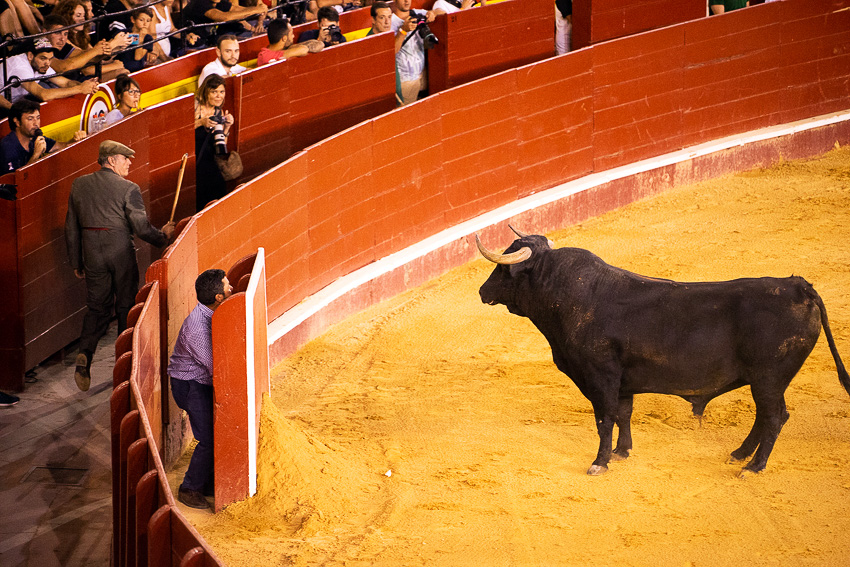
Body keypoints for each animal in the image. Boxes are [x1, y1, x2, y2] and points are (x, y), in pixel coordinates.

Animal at [476, 231, 848, 474]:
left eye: (503, 268)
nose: (481, 291)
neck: (570, 295)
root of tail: (800, 287)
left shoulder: (600, 377)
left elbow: (604, 418)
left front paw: (600, 462)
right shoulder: (622, 381)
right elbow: (623, 414)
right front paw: (622, 452)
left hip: (769, 378)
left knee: (774, 417)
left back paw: (753, 467)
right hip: (766, 381)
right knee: (764, 416)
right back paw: (738, 454)